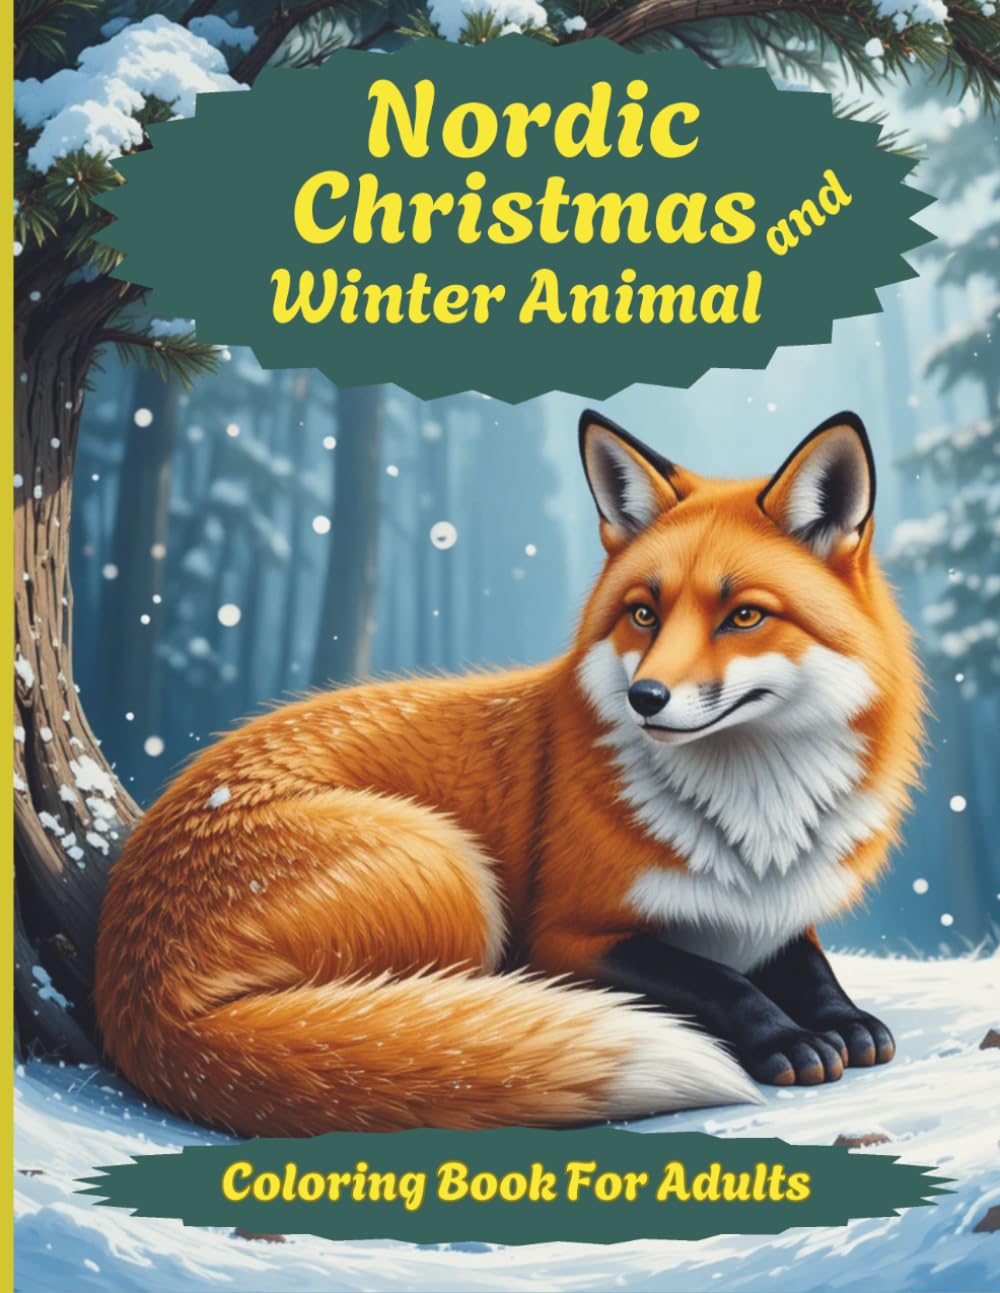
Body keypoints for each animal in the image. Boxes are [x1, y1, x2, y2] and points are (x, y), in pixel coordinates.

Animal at [94, 409, 923, 1137]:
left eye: (744, 616)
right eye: (644, 614)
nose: (645, 696)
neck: (753, 826)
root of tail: (139, 1003)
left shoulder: (774, 913)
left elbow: (806, 961)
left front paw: (844, 1018)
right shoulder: (566, 936)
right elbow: (716, 977)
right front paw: (784, 1036)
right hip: (455, 873)